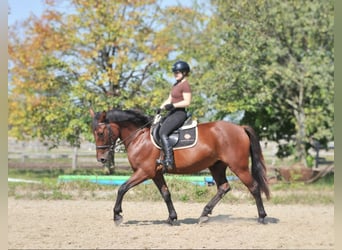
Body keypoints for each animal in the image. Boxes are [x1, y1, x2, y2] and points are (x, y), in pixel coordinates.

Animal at [89, 107, 270, 225]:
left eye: (101, 133)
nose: (101, 159)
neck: (139, 137)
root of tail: (240, 128)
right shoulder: (156, 174)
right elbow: (166, 194)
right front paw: (172, 217)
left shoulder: (144, 172)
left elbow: (122, 188)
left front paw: (117, 215)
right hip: (217, 166)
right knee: (223, 187)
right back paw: (204, 214)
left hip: (238, 167)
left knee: (253, 187)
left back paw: (261, 217)